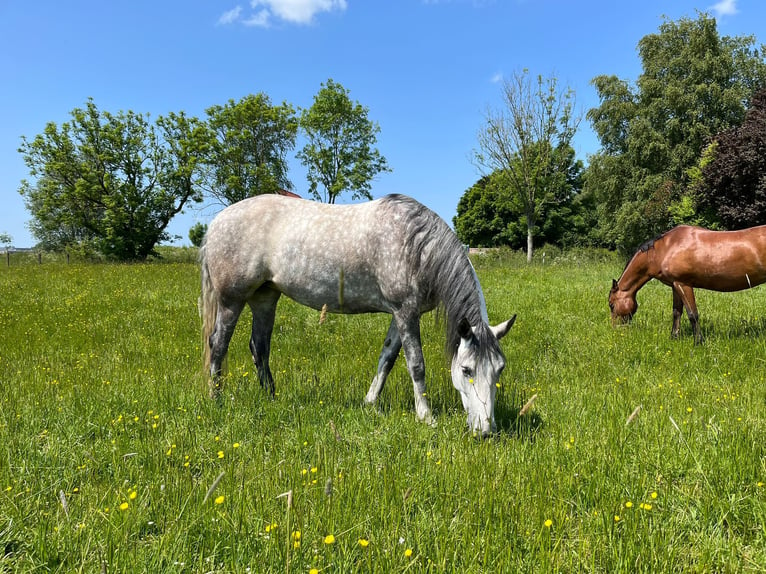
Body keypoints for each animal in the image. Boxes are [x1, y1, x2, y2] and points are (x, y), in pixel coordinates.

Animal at [201, 194, 520, 436]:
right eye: (466, 370)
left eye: (500, 368)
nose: (485, 431)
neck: (417, 246)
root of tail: (217, 221)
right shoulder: (406, 312)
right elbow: (416, 365)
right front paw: (426, 417)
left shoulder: (400, 314)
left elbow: (387, 358)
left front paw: (370, 403)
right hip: (231, 300)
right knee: (218, 344)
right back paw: (216, 400)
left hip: (265, 297)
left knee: (259, 347)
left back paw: (271, 398)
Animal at [616, 224, 766, 342]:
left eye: (612, 305)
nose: (616, 329)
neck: (666, 248)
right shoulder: (675, 285)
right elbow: (676, 312)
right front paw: (674, 337)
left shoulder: (684, 284)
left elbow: (692, 314)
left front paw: (698, 341)